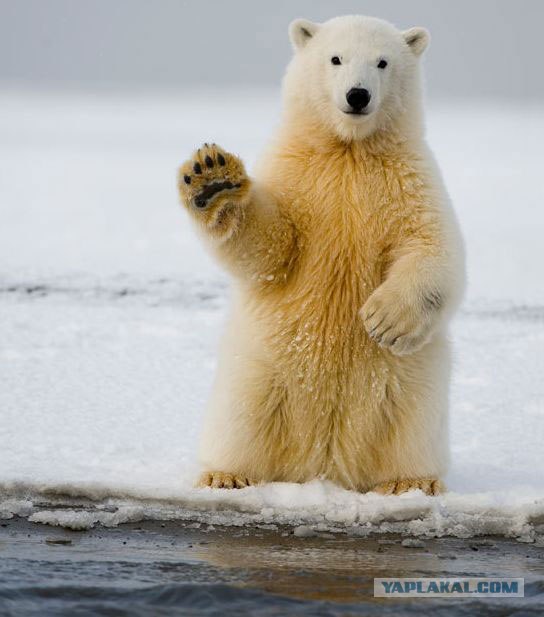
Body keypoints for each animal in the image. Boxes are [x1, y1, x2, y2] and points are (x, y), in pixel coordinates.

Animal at [177, 14, 464, 496]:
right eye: (335, 58)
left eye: (382, 62)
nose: (358, 94)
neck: (349, 150)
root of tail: (325, 464)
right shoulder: (297, 174)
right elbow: (273, 248)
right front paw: (213, 180)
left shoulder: (409, 180)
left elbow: (431, 247)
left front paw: (384, 320)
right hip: (258, 371)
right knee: (242, 417)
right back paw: (226, 474)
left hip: (412, 386)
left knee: (411, 425)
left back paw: (409, 483)